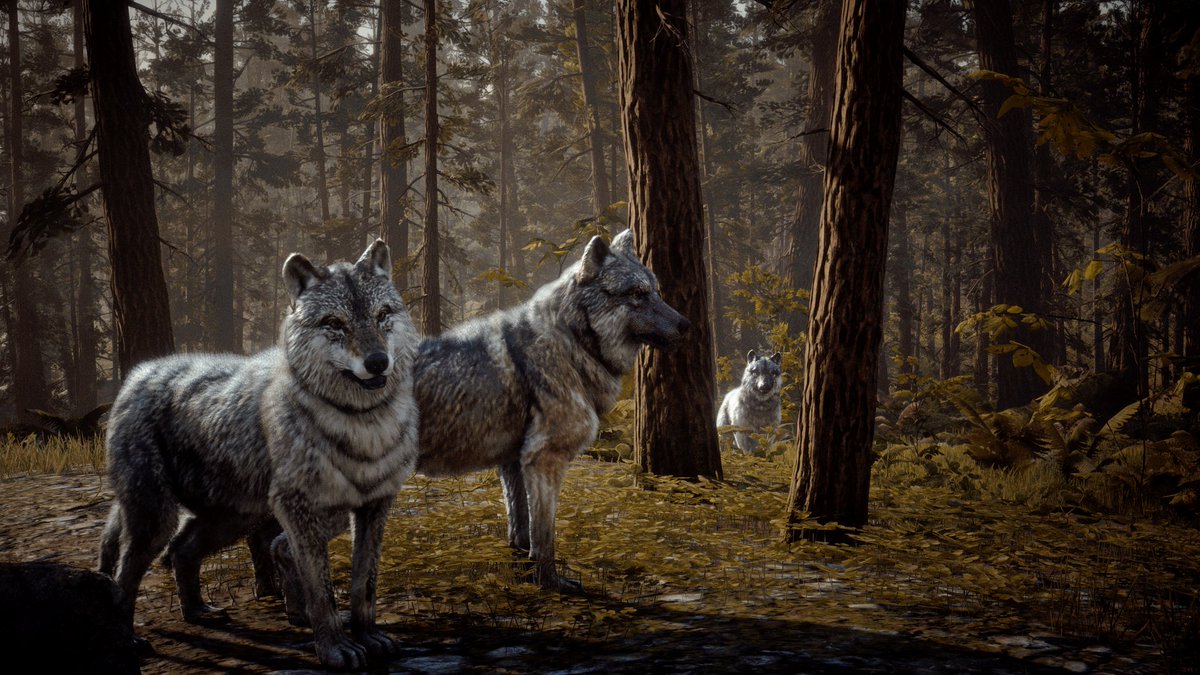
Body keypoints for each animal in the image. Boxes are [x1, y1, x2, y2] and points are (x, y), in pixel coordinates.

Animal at [98, 240, 419, 670]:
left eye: (382, 315)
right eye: (335, 323)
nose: (377, 362)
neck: (360, 425)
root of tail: (137, 375)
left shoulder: (375, 507)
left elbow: (363, 586)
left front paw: (370, 638)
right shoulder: (298, 511)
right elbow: (322, 592)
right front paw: (336, 649)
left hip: (232, 519)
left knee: (182, 549)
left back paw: (198, 612)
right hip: (157, 520)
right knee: (124, 576)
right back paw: (129, 639)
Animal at [413, 229, 689, 592]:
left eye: (656, 291)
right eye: (638, 294)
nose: (687, 325)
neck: (571, 343)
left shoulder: (514, 463)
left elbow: (520, 534)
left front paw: (523, 576)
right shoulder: (544, 461)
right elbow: (544, 537)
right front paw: (550, 583)